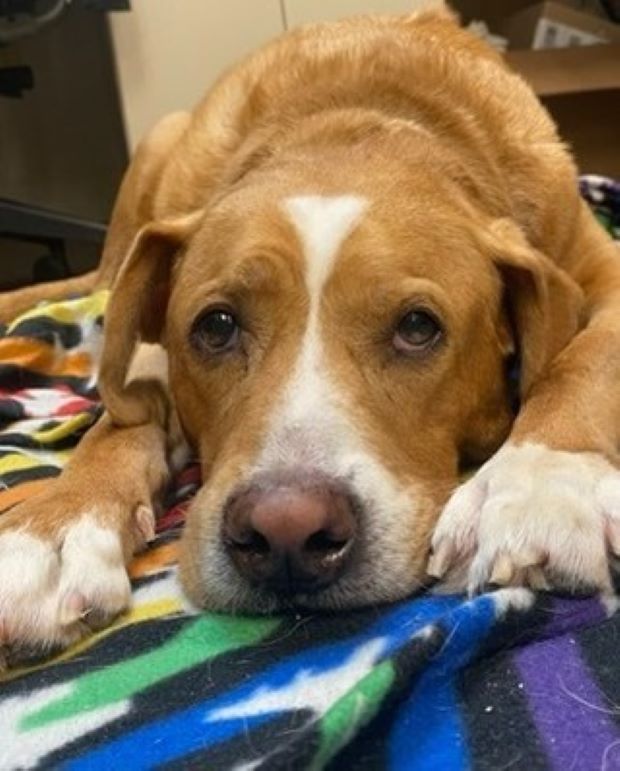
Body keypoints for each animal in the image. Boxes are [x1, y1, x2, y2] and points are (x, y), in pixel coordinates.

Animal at [1, 6, 620, 668]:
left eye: (417, 328)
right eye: (216, 326)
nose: (286, 534)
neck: (355, 125)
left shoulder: (600, 264)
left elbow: (586, 356)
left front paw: (540, 482)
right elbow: (117, 421)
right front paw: (57, 521)